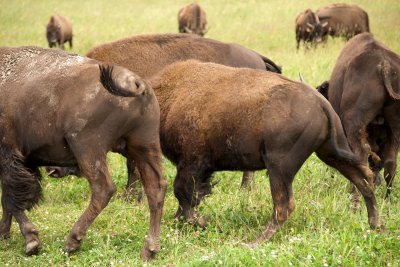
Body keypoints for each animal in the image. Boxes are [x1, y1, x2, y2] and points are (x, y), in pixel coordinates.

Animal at [0, 46, 166, 262]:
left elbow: (12, 198)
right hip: (144, 146)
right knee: (156, 188)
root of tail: (137, 83)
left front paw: (31, 242)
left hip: (87, 148)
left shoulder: (9, 156)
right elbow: (7, 199)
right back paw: (149, 251)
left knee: (103, 189)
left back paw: (72, 242)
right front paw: (5, 234)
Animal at [149, 60, 382, 245]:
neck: (170, 95)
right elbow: (190, 196)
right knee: (364, 180)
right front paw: (180, 222)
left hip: (279, 167)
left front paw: (200, 222)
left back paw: (254, 242)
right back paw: (377, 225)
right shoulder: (199, 168)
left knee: (284, 206)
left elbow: (182, 192)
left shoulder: (191, 162)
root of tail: (322, 103)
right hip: (329, 153)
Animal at [326, 33, 398, 201]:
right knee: (390, 163)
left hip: (354, 126)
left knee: (361, 157)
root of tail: (384, 64)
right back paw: (387, 198)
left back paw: (356, 197)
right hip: (395, 128)